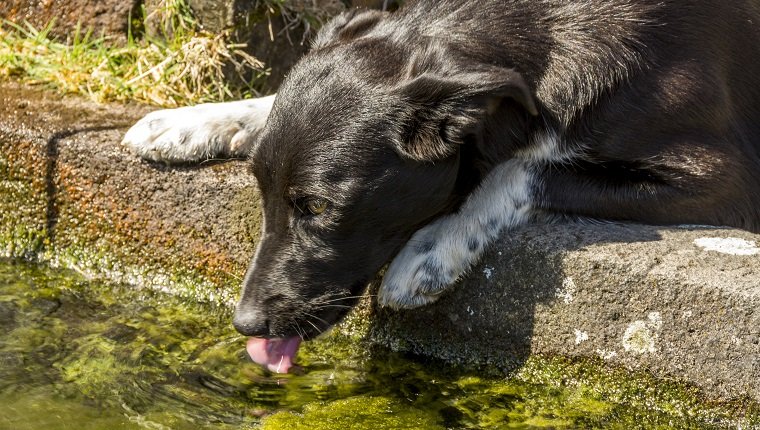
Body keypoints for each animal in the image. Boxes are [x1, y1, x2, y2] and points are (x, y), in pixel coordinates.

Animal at [121, 0, 760, 372]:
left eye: (321, 207)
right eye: (260, 191)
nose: (246, 325)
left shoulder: (721, 181)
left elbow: (524, 162)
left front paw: (430, 250)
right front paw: (188, 120)